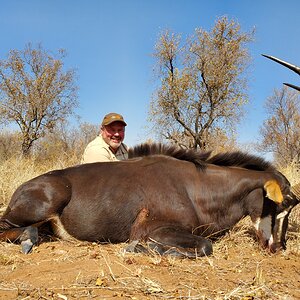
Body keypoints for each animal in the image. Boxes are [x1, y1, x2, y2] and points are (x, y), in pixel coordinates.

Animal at [0, 144, 298, 258]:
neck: (197, 187)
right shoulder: (155, 229)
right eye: (281, 204)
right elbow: (206, 246)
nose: (278, 247)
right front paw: (147, 250)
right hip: (44, 203)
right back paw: (27, 237)